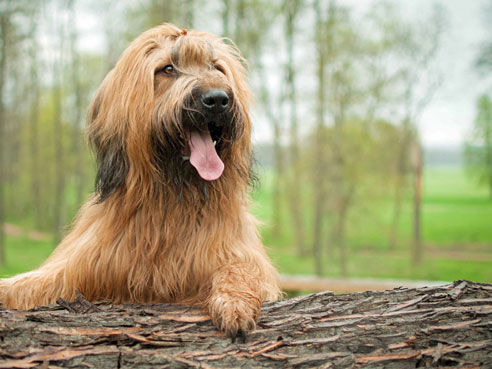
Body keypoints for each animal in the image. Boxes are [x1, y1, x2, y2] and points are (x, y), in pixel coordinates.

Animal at [0, 23, 282, 340]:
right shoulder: (81, 267)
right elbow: (30, 284)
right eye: (167, 69)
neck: (172, 202)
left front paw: (235, 303)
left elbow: (240, 268)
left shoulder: (233, 252)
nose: (218, 99)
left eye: (216, 67)